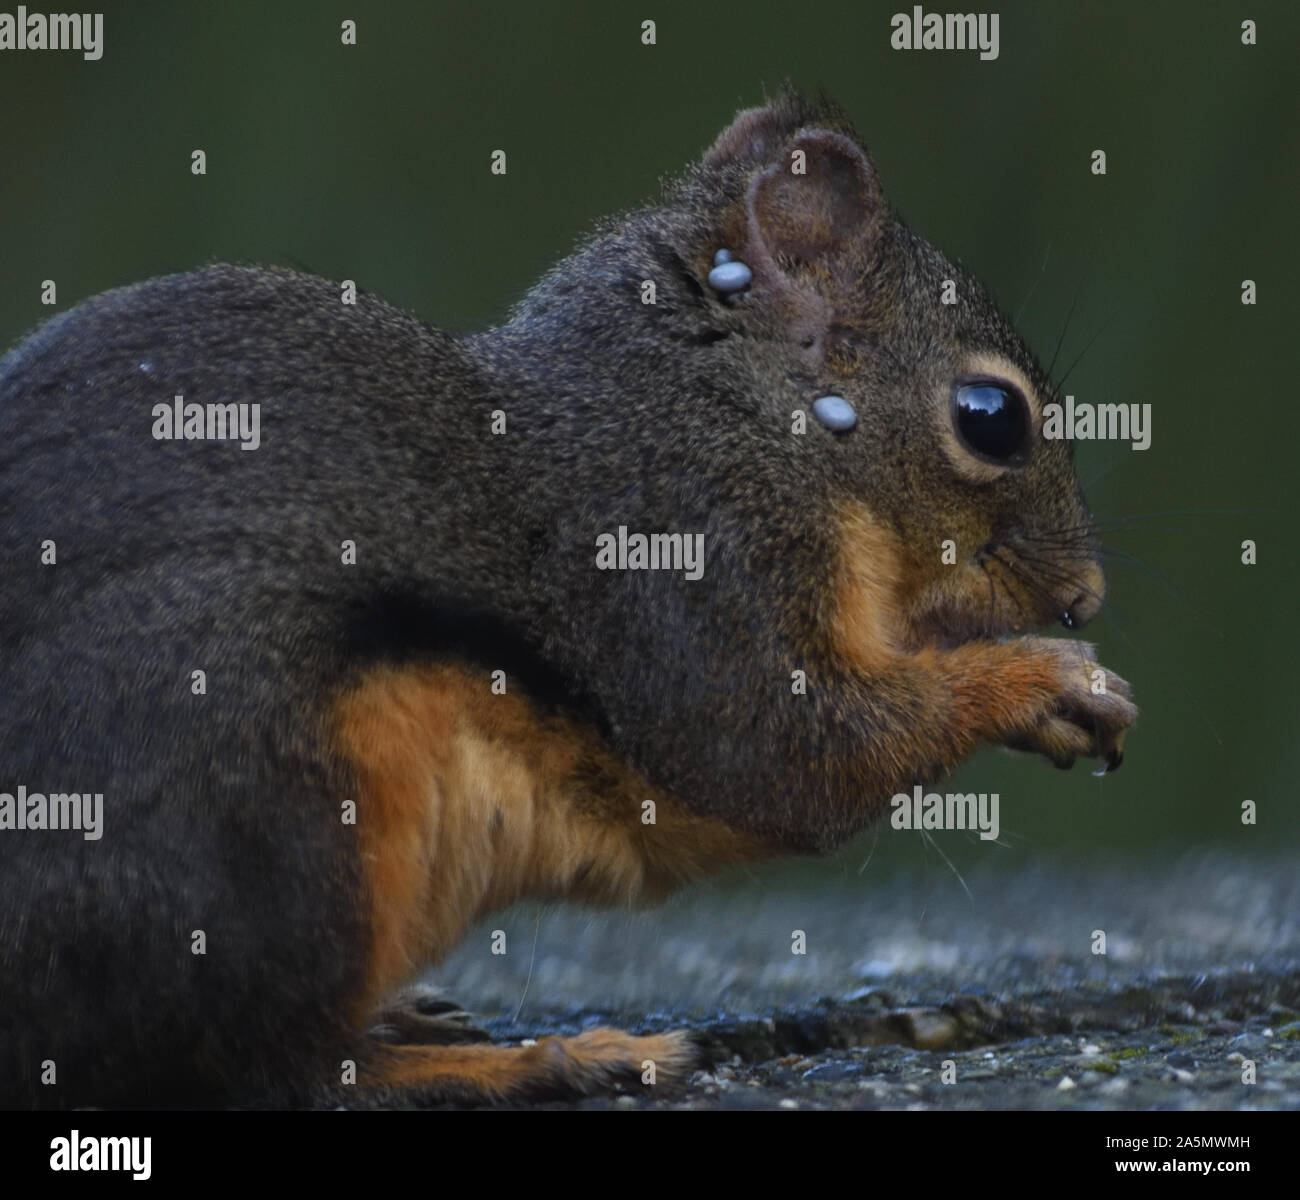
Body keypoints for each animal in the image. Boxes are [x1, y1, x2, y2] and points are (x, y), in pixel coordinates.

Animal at [0, 87, 1134, 1108]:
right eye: (991, 417)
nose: (1084, 598)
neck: (745, 415)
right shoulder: (699, 548)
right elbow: (784, 753)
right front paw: (1042, 683)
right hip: (277, 830)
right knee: (279, 1071)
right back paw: (542, 1059)